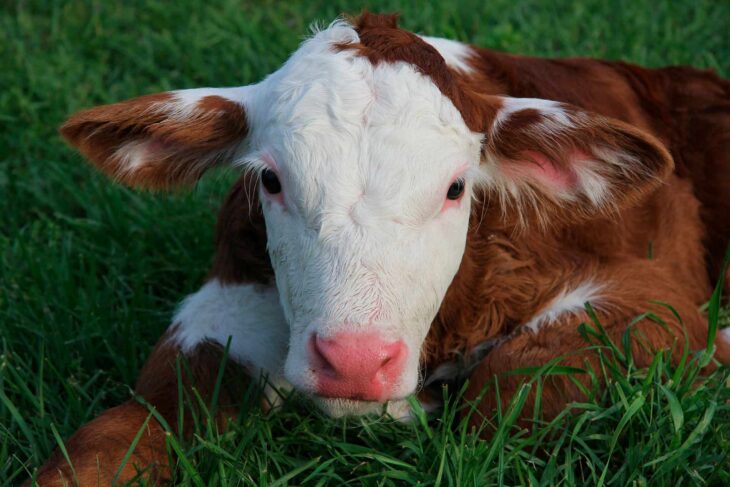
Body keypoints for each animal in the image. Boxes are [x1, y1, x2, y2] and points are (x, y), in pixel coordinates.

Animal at [32, 12, 728, 487]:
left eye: (456, 187)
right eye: (271, 181)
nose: (355, 360)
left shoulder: (652, 291)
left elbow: (505, 396)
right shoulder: (227, 301)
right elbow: (116, 436)